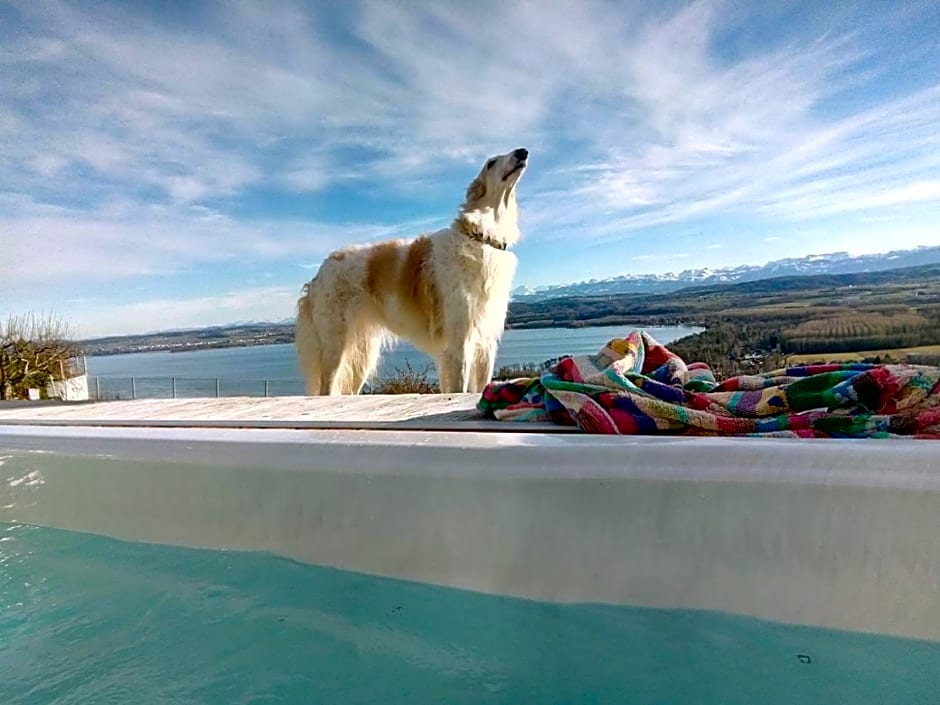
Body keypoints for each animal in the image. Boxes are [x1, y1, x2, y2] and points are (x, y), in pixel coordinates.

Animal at [296, 147, 528, 396]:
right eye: (491, 163)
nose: (522, 152)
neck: (481, 237)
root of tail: (319, 273)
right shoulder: (459, 342)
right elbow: (459, 389)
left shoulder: (485, 344)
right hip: (336, 345)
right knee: (325, 390)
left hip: (361, 354)